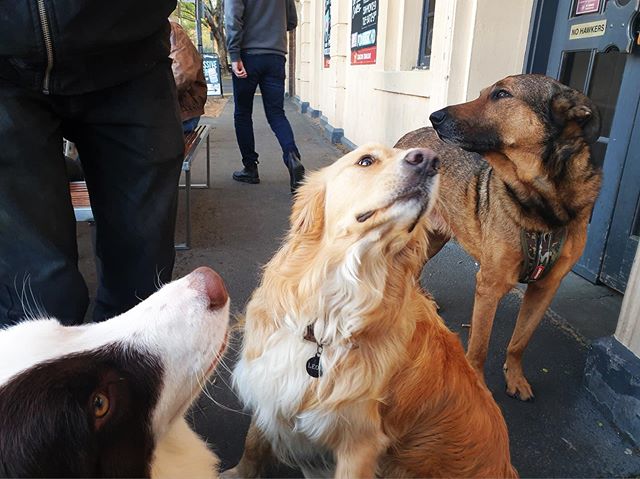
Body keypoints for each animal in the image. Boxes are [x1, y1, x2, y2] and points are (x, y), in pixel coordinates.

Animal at [228, 144, 516, 478]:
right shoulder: (269, 381)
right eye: (366, 160)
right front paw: (237, 472)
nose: (431, 160)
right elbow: (253, 441)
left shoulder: (360, 443)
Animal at [398, 73, 604, 402]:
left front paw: (515, 377)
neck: (543, 202)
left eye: (502, 94)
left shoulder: (545, 288)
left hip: (438, 235)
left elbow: (519, 341)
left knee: (416, 267)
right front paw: (478, 389)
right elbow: (479, 348)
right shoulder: (489, 286)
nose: (434, 117)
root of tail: (409, 136)